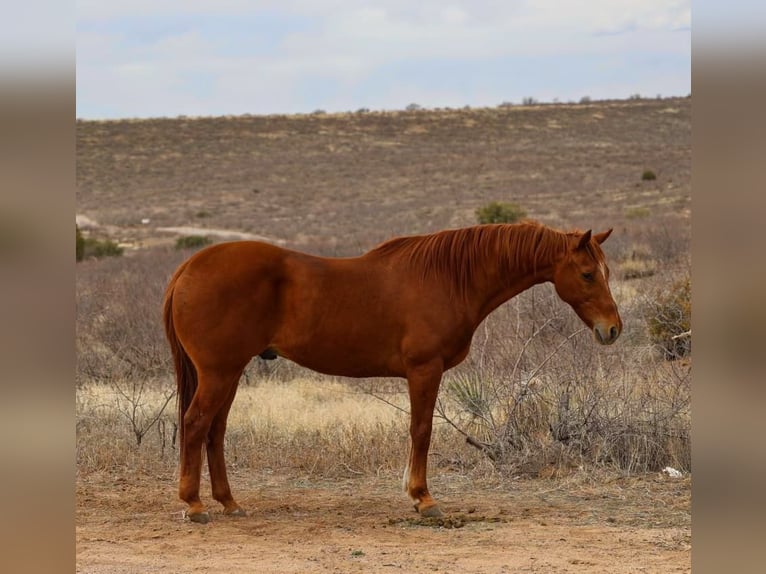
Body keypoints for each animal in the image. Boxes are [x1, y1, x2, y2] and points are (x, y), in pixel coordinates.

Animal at [163, 221, 622, 523]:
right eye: (587, 274)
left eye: (606, 272)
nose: (612, 329)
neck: (449, 278)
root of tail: (188, 267)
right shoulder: (424, 371)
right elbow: (421, 430)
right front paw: (423, 499)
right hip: (219, 372)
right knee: (196, 423)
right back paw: (194, 504)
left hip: (229, 373)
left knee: (215, 431)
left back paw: (229, 502)